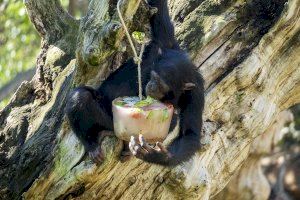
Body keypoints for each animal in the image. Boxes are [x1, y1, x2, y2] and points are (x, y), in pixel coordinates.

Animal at [66, 0, 205, 166]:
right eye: (153, 76)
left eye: (161, 84)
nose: (151, 86)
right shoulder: (165, 41)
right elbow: (159, 10)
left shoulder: (195, 93)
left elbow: (190, 134)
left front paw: (156, 155)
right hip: (110, 121)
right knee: (81, 97)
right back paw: (91, 143)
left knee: (174, 118)